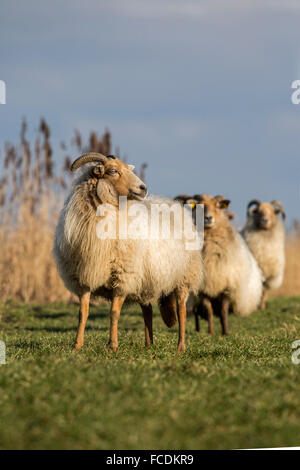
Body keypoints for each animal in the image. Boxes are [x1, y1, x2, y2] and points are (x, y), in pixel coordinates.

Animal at [54, 153, 204, 352]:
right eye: (112, 171)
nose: (143, 188)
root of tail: (174, 204)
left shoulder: (123, 278)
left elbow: (114, 313)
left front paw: (112, 346)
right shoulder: (84, 277)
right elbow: (82, 313)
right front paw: (77, 345)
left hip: (183, 277)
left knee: (182, 311)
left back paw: (181, 346)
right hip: (145, 280)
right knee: (147, 310)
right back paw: (149, 344)